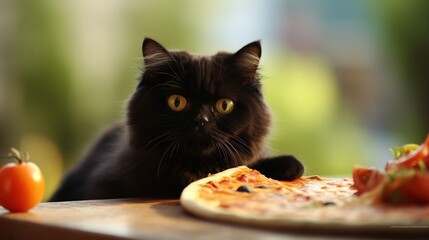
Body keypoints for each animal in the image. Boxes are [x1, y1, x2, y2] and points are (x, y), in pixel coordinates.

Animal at [49, 38, 304, 202]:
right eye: (177, 102)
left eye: (224, 105)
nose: (201, 120)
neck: (200, 164)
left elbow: (247, 164)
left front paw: (288, 165)